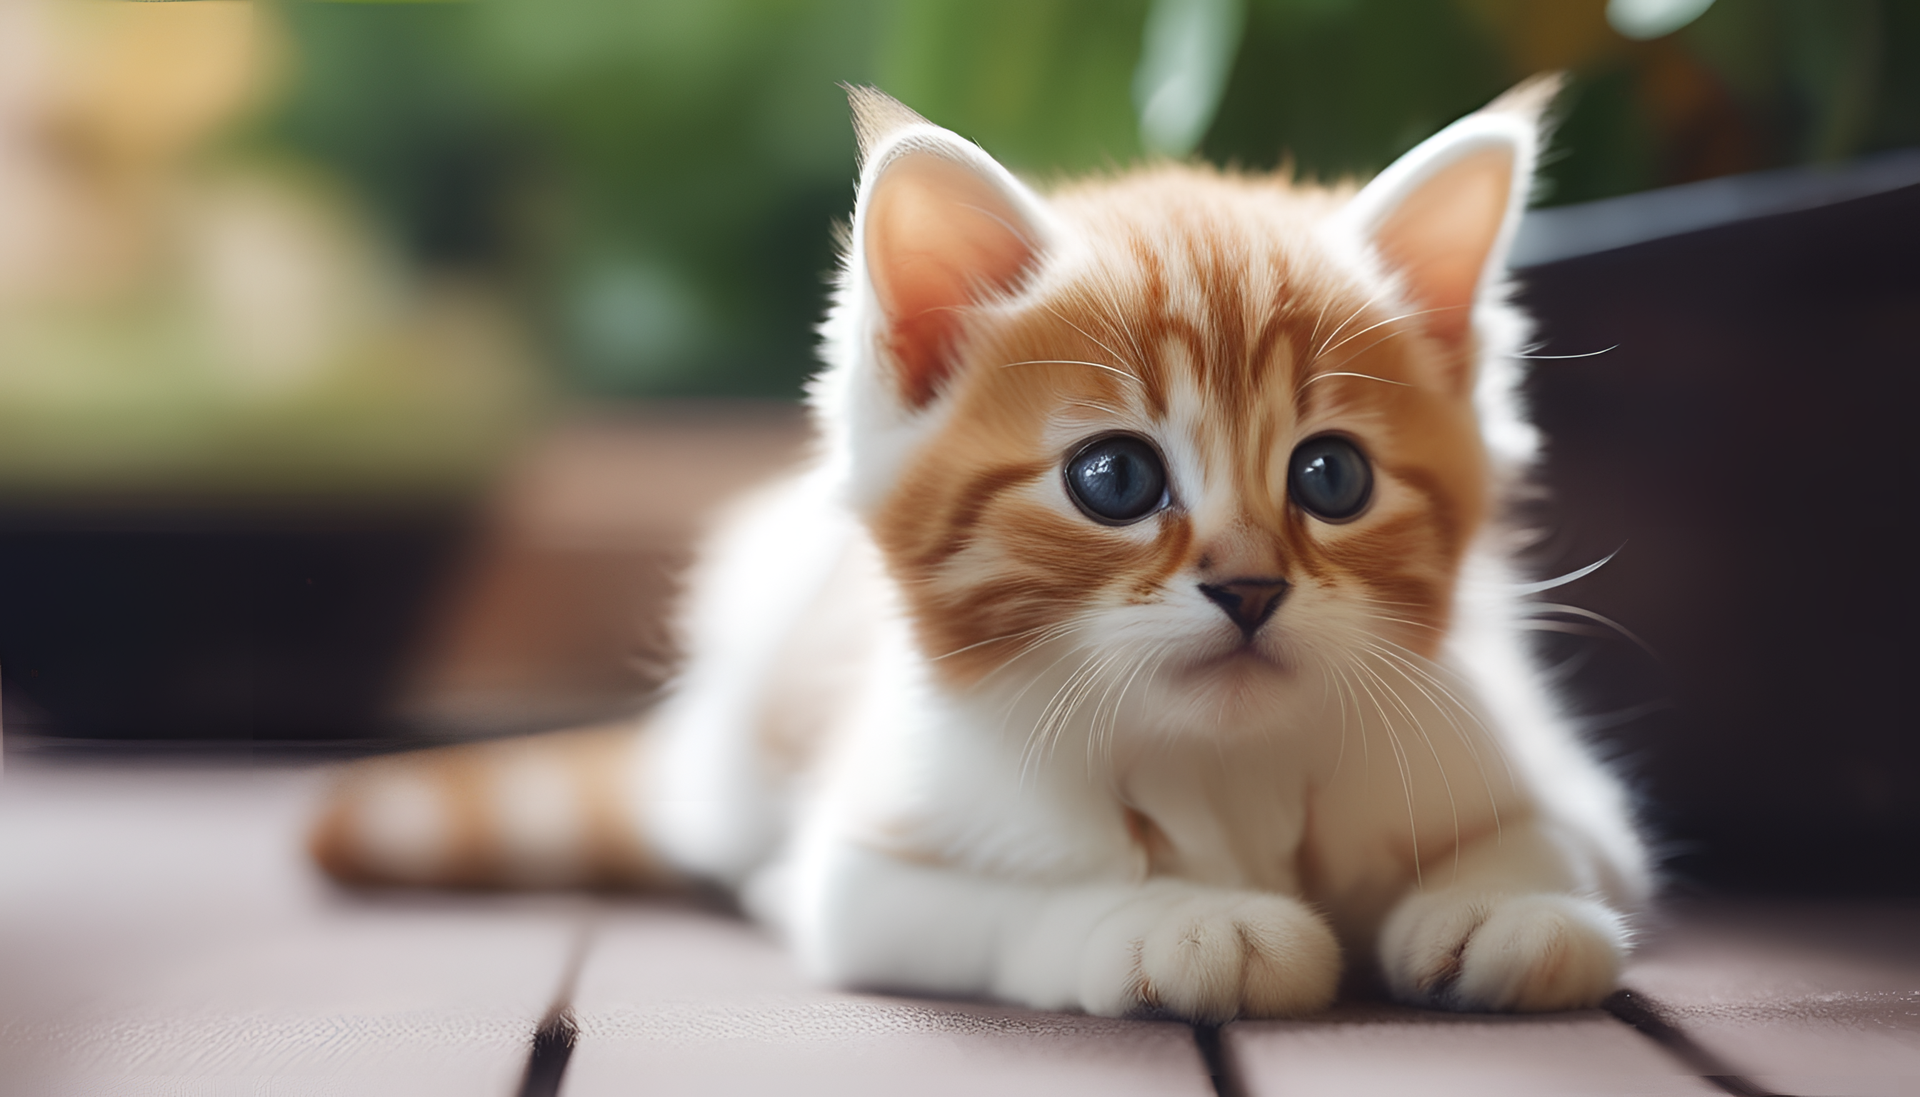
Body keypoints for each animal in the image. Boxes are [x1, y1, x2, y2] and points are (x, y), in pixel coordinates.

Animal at [314, 83, 1651, 1022]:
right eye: (1114, 479)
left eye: (1332, 478)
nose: (1250, 586)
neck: (1229, 769)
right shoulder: (869, 868)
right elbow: (1014, 909)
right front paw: (1175, 919)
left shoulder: (1540, 761)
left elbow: (1557, 841)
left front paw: (1512, 905)